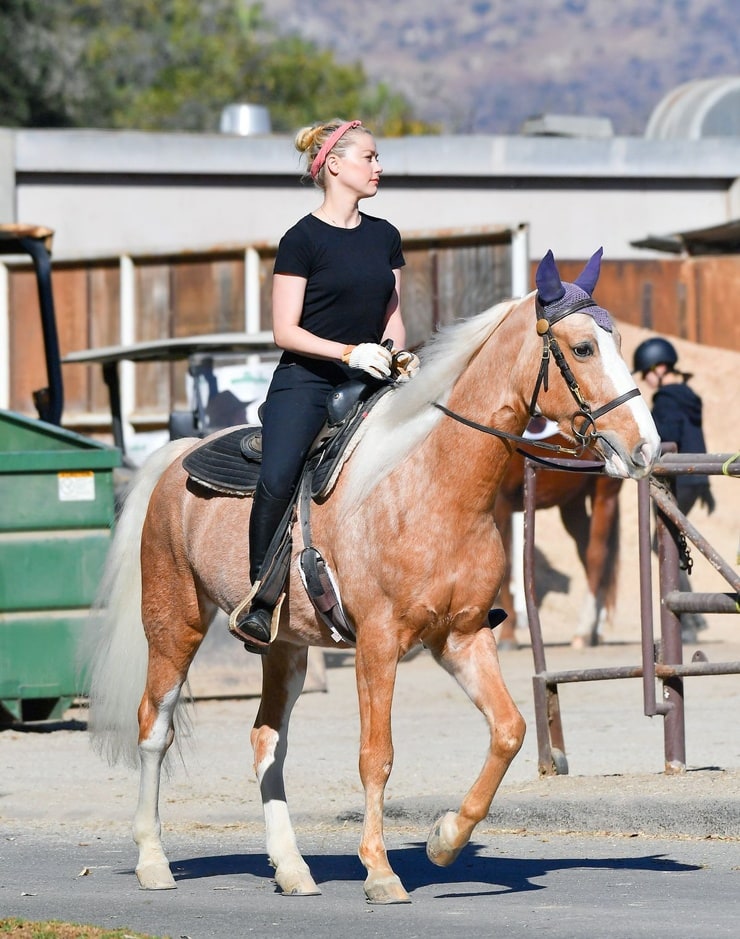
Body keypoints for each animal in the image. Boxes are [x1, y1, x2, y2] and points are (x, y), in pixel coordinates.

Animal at [494, 430, 620, 648]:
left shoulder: (501, 504)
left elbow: (506, 566)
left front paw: (508, 635)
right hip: (573, 503)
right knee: (586, 551)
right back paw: (595, 628)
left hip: (604, 495)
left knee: (596, 555)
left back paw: (584, 631)